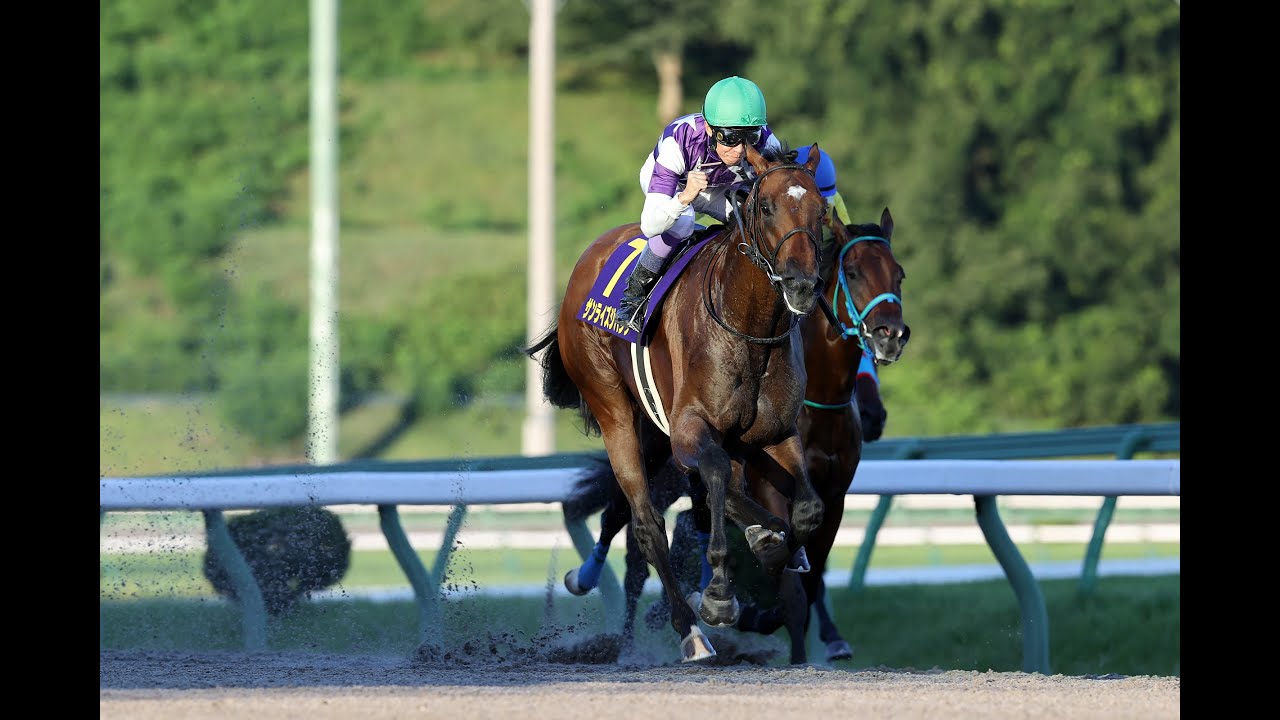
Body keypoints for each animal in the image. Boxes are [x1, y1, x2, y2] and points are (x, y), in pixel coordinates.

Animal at [525, 144, 830, 663]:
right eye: (768, 207)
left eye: (821, 210)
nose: (802, 285)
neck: (747, 327)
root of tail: (589, 258)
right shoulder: (691, 430)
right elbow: (718, 481)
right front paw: (720, 595)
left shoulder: (775, 432)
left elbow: (806, 509)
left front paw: (775, 547)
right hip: (616, 412)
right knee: (647, 523)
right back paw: (689, 631)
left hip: (655, 432)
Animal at [561, 208, 909, 664]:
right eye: (853, 272)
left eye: (899, 275)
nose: (890, 334)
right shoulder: (768, 482)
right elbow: (793, 591)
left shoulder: (834, 495)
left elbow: (811, 567)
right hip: (650, 446)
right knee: (628, 525)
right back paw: (610, 609)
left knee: (700, 511)